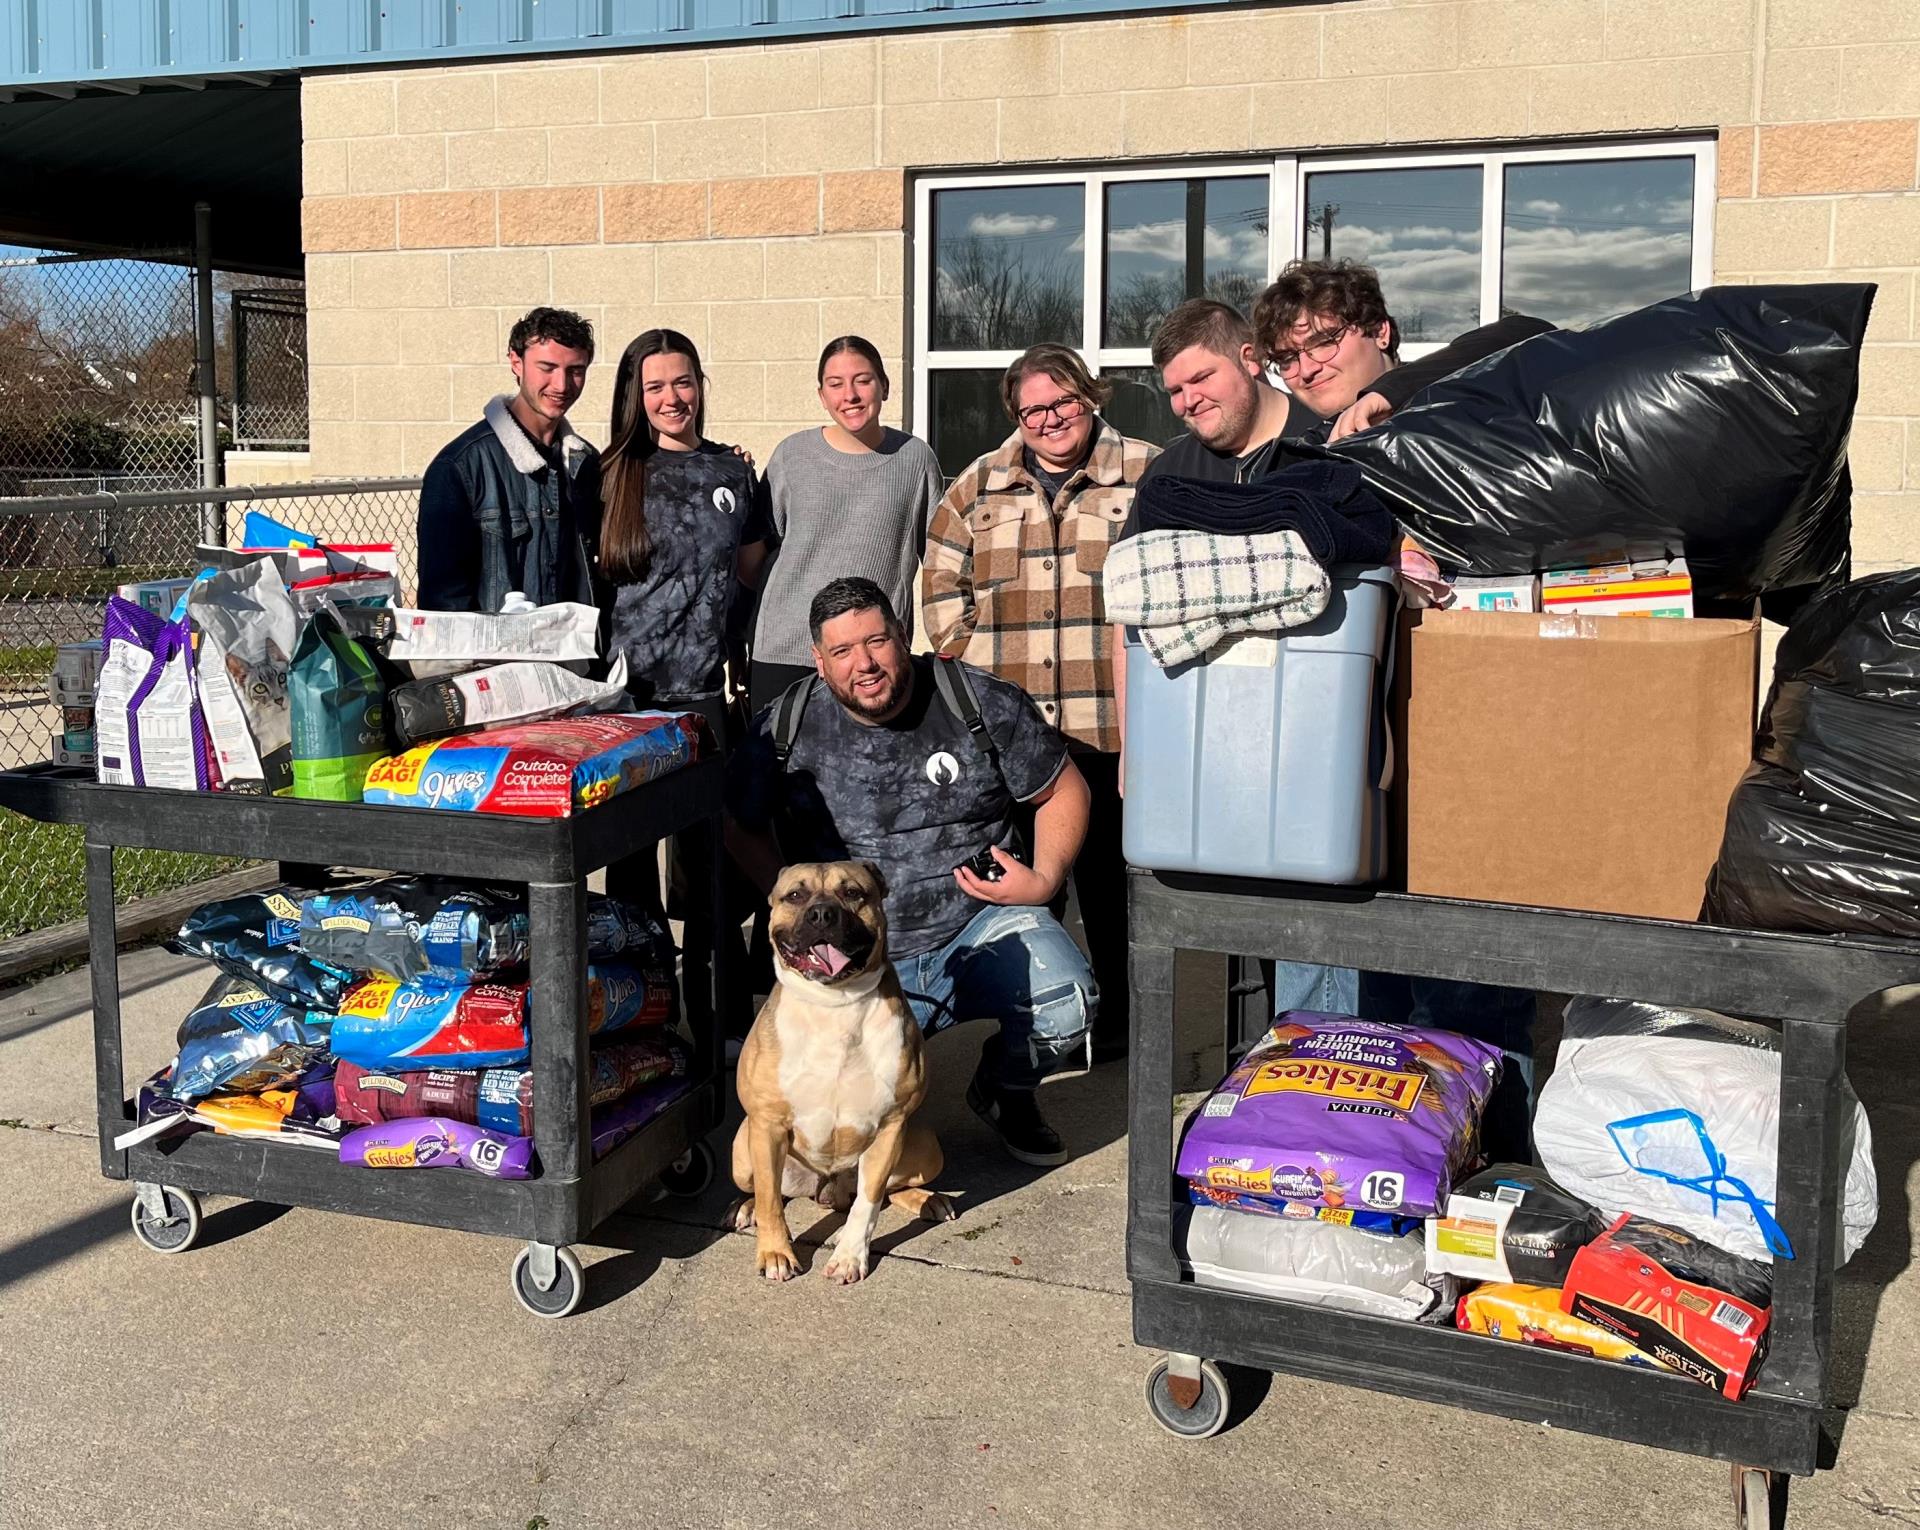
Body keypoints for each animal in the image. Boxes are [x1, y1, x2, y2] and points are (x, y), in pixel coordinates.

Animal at [725, 860, 952, 1274]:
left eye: (853, 893)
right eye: (795, 895)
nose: (822, 914)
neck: (835, 1004)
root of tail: (827, 1190)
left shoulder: (890, 1126)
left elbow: (869, 1202)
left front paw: (849, 1257)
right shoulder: (766, 1124)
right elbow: (769, 1199)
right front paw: (776, 1253)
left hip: (926, 1146)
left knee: (890, 1188)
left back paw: (928, 1199)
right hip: (742, 1148)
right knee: (767, 1191)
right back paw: (744, 1209)